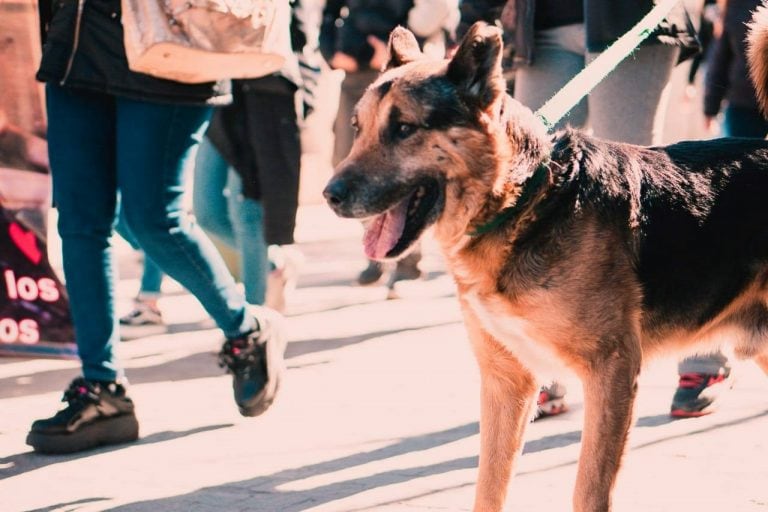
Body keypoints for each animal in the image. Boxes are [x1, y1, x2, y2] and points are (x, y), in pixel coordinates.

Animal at [324, 6, 768, 510]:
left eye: (403, 129)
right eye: (357, 129)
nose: (329, 195)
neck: (525, 199)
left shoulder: (612, 372)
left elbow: (588, 489)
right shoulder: (507, 383)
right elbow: (489, 487)